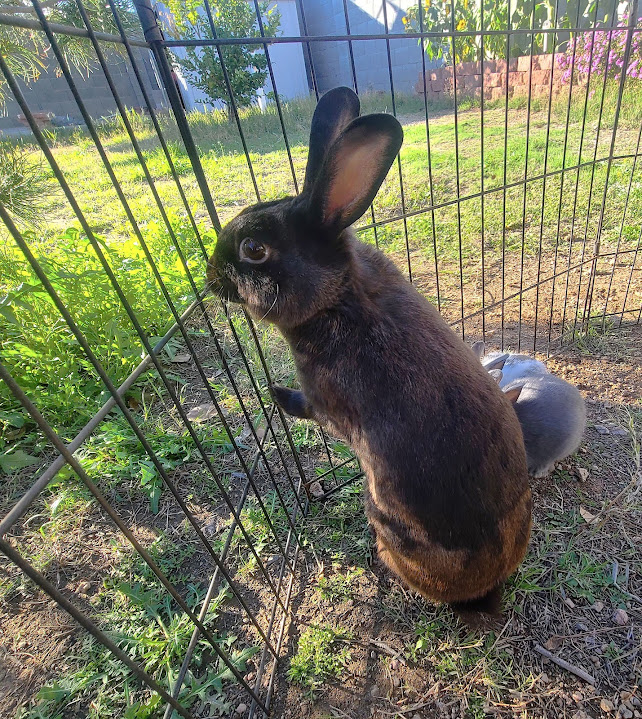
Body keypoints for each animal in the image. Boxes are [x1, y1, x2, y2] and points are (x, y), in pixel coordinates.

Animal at [207, 87, 531, 613]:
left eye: (254, 250)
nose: (210, 276)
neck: (338, 296)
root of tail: (485, 591)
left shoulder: (327, 402)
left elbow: (307, 408)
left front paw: (276, 394)